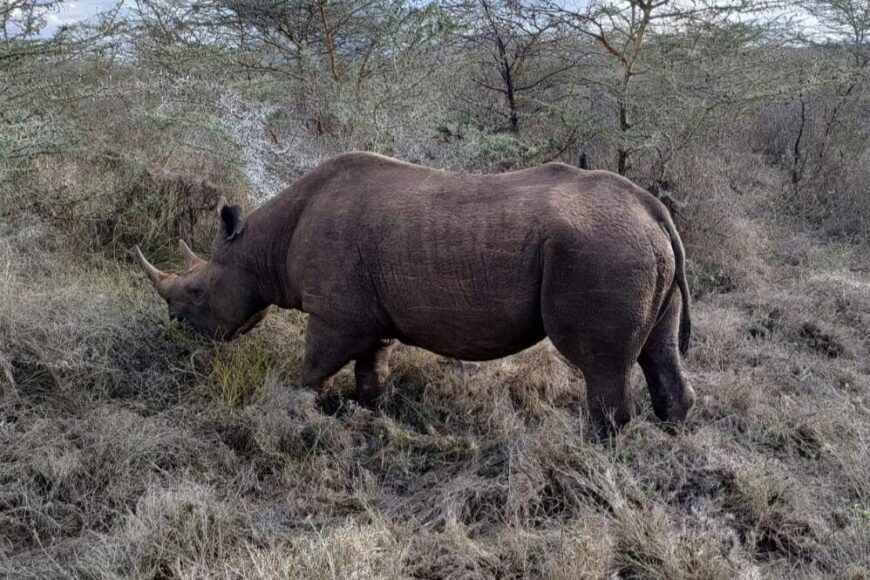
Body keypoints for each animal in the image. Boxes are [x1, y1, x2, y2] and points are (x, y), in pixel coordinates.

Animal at [135, 152, 694, 436]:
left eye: (198, 291)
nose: (176, 328)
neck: (261, 245)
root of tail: (653, 210)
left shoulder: (335, 315)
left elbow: (313, 367)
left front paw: (297, 414)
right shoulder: (367, 312)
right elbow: (371, 368)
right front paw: (371, 415)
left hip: (601, 247)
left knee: (601, 364)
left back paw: (597, 447)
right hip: (635, 245)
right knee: (659, 350)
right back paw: (671, 436)